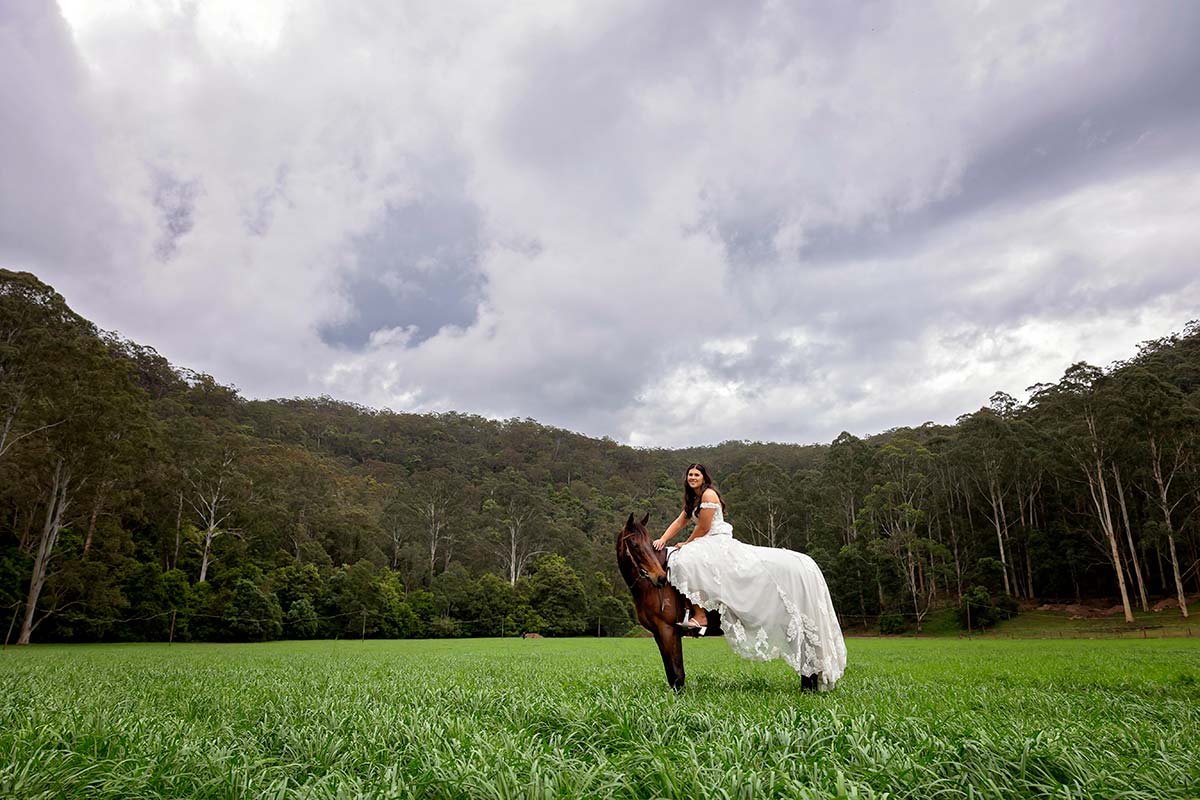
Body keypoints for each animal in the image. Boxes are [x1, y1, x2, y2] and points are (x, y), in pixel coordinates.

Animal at [619, 515, 720, 690]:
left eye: (649, 543)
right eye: (634, 544)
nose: (660, 578)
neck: (648, 587)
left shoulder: (668, 630)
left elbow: (677, 674)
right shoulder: (658, 632)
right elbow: (671, 673)